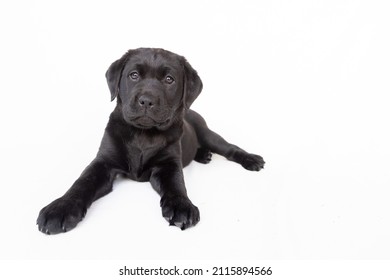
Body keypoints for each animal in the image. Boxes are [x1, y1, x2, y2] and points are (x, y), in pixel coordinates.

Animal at [36, 47, 266, 234]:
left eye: (169, 79)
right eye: (134, 75)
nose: (146, 100)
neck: (143, 134)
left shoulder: (169, 164)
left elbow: (176, 185)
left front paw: (182, 207)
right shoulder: (103, 161)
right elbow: (82, 182)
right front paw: (60, 208)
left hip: (207, 133)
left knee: (228, 148)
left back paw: (250, 159)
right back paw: (203, 155)